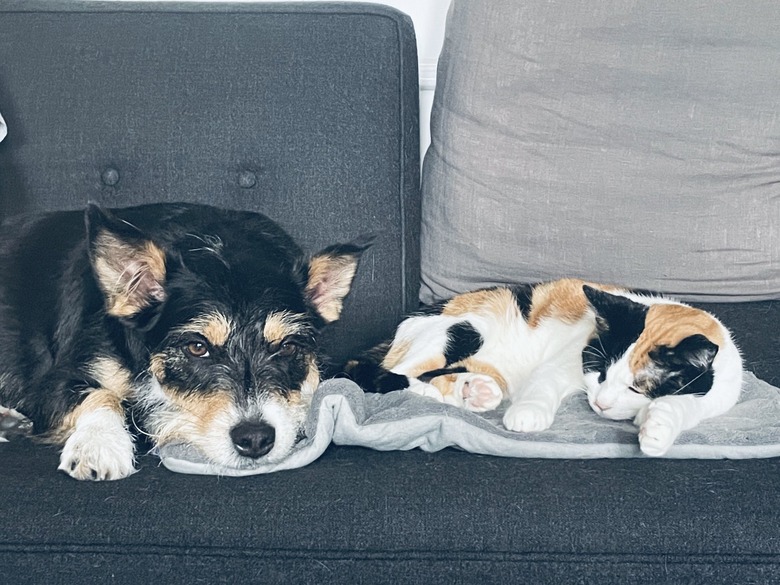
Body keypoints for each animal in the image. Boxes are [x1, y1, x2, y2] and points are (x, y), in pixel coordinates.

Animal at [0, 203, 368, 482]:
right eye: (197, 347)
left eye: (288, 347)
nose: (255, 439)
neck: (222, 247)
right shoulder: (49, 384)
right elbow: (101, 394)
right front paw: (99, 445)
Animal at [348, 278, 744, 456]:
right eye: (600, 373)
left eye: (636, 387)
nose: (600, 403)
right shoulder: (567, 361)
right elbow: (544, 383)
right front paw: (528, 415)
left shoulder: (718, 394)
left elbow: (682, 404)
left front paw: (657, 429)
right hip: (460, 330)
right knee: (396, 374)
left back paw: (477, 391)